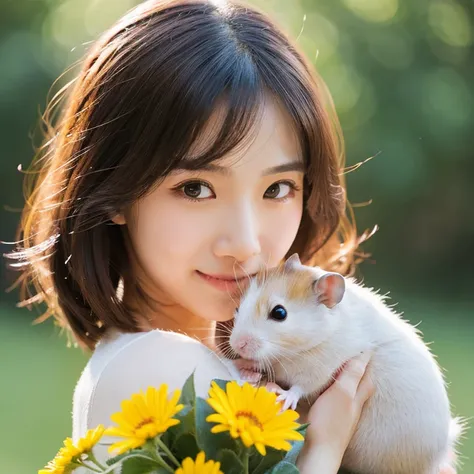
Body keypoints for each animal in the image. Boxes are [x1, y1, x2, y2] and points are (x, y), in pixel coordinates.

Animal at [228, 254, 462, 474]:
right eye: (237, 309)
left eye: (279, 313)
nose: (237, 344)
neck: (291, 354)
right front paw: (246, 369)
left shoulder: (322, 369)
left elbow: (300, 387)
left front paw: (284, 397)